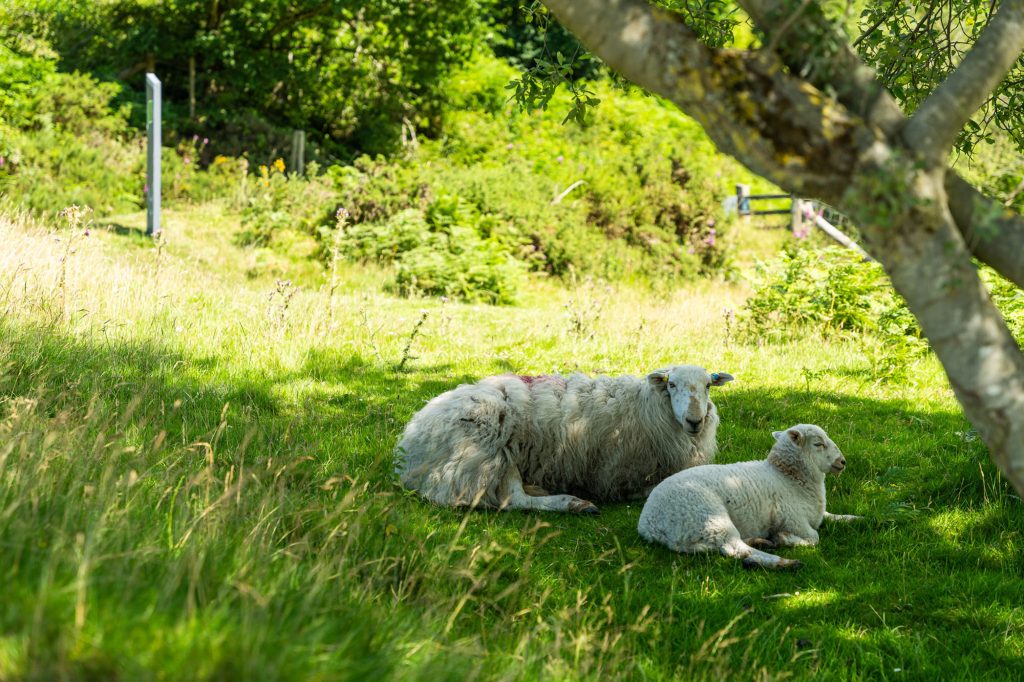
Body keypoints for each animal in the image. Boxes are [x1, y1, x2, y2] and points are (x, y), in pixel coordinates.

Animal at [395, 365, 735, 514]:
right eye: (672, 384)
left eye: (708, 386)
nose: (695, 420)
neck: (645, 405)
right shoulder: (619, 473)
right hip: (492, 453)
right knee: (513, 500)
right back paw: (573, 503)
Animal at [637, 424, 861, 569]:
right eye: (818, 444)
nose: (842, 462)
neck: (788, 477)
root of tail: (649, 524)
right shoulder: (791, 518)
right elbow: (814, 537)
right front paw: (785, 539)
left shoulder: (817, 514)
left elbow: (833, 517)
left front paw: (858, 519)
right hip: (708, 517)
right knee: (735, 549)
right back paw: (782, 561)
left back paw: (760, 541)